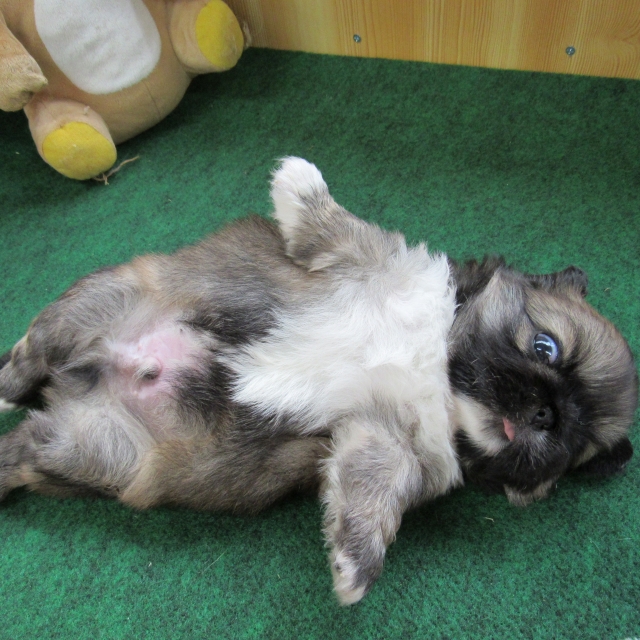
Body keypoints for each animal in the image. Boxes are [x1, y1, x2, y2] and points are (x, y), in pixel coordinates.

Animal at [0, 158, 637, 604]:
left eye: (572, 445)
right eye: (546, 347)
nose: (549, 413)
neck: (436, 365)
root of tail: (85, 380)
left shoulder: (382, 438)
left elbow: (373, 489)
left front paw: (356, 562)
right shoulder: (371, 259)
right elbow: (337, 224)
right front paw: (300, 178)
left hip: (96, 447)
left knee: (22, 449)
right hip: (105, 299)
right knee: (33, 349)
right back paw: (11, 379)